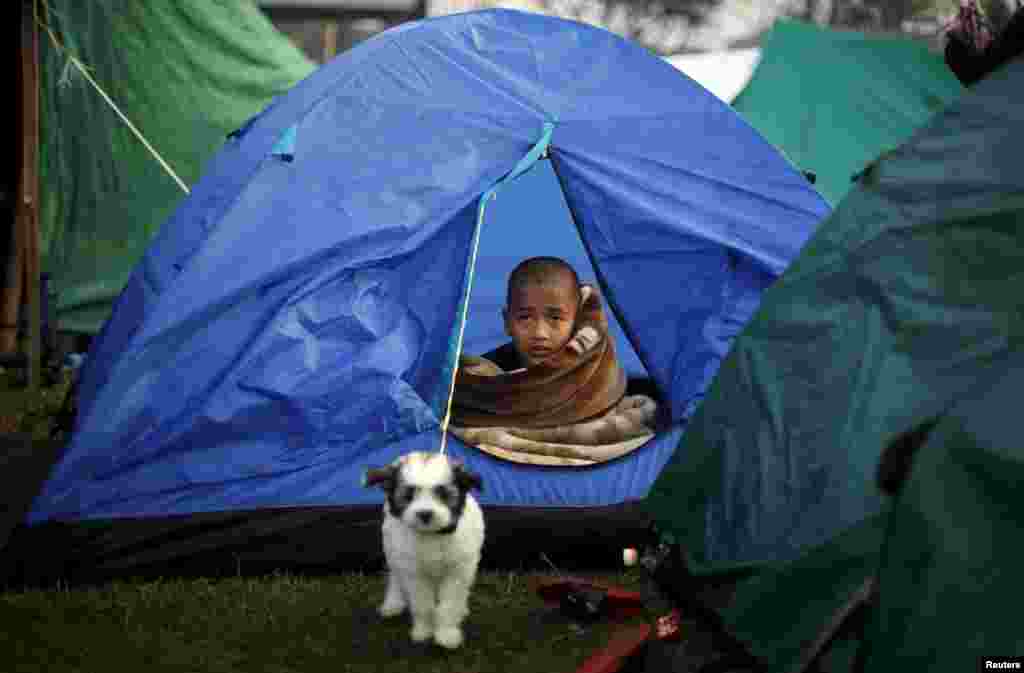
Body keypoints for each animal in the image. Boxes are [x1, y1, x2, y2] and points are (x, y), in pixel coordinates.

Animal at [364, 450, 483, 647]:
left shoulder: (457, 572)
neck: (432, 535)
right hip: (392, 550)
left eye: (443, 494)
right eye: (408, 495)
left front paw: (446, 634)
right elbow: (422, 603)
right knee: (396, 578)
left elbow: (450, 603)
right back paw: (393, 603)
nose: (425, 514)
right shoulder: (414, 573)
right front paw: (424, 631)